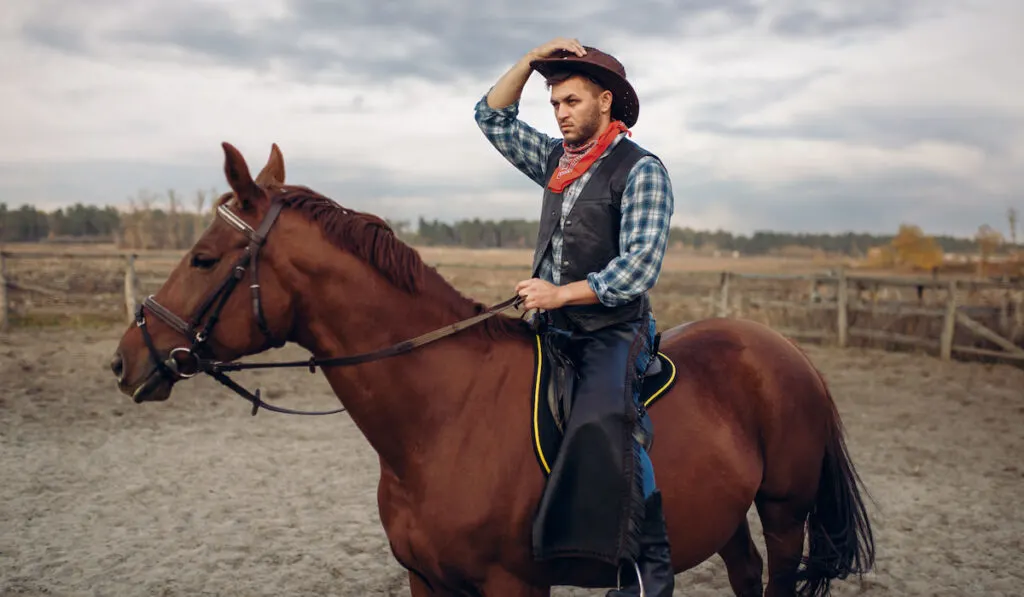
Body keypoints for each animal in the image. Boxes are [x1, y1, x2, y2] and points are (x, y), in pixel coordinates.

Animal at [110, 143, 872, 597]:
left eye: (204, 258)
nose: (126, 357)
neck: (444, 418)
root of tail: (787, 351)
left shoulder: (512, 585)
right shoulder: (426, 580)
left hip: (784, 511)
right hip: (728, 516)